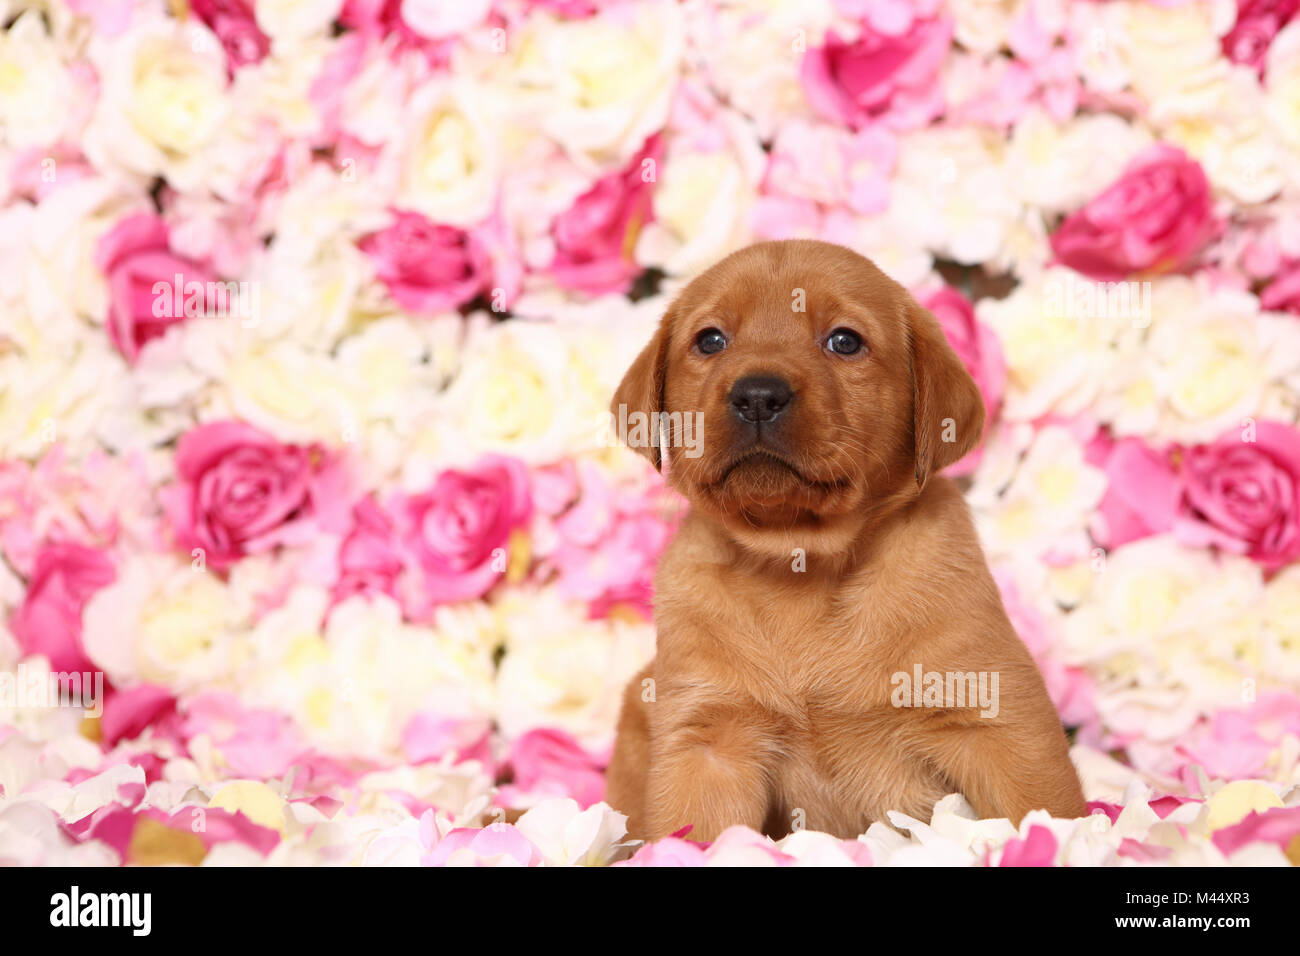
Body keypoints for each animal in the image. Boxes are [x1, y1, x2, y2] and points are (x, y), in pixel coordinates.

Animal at [605, 240, 1086, 842]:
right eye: (711, 340)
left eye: (844, 341)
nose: (757, 395)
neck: (801, 565)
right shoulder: (708, 740)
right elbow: (692, 832)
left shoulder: (998, 720)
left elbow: (1047, 808)